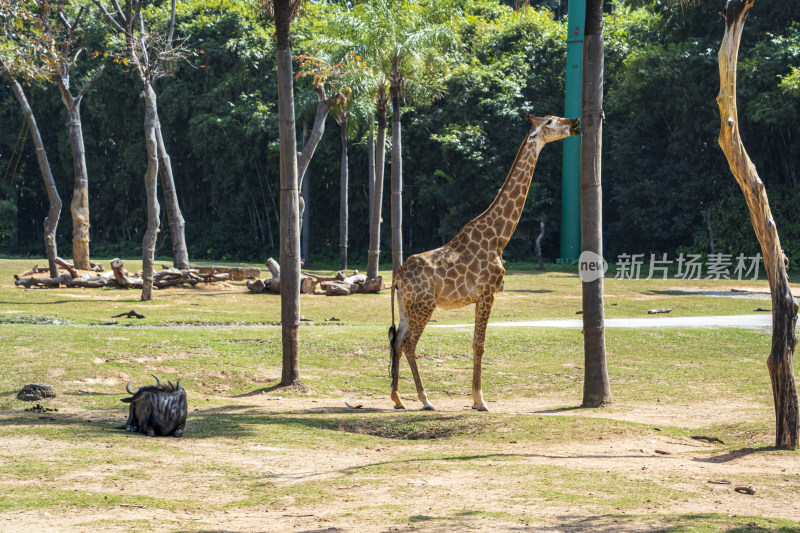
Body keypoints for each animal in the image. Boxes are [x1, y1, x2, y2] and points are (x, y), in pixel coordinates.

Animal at [390, 114, 580, 410]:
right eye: (550, 121)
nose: (575, 122)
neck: (498, 238)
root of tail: (398, 276)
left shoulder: (482, 295)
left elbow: (476, 343)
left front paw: (476, 398)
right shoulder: (488, 292)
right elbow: (479, 344)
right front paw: (480, 400)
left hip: (406, 307)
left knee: (397, 342)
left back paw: (398, 398)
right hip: (424, 306)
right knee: (409, 344)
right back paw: (425, 399)